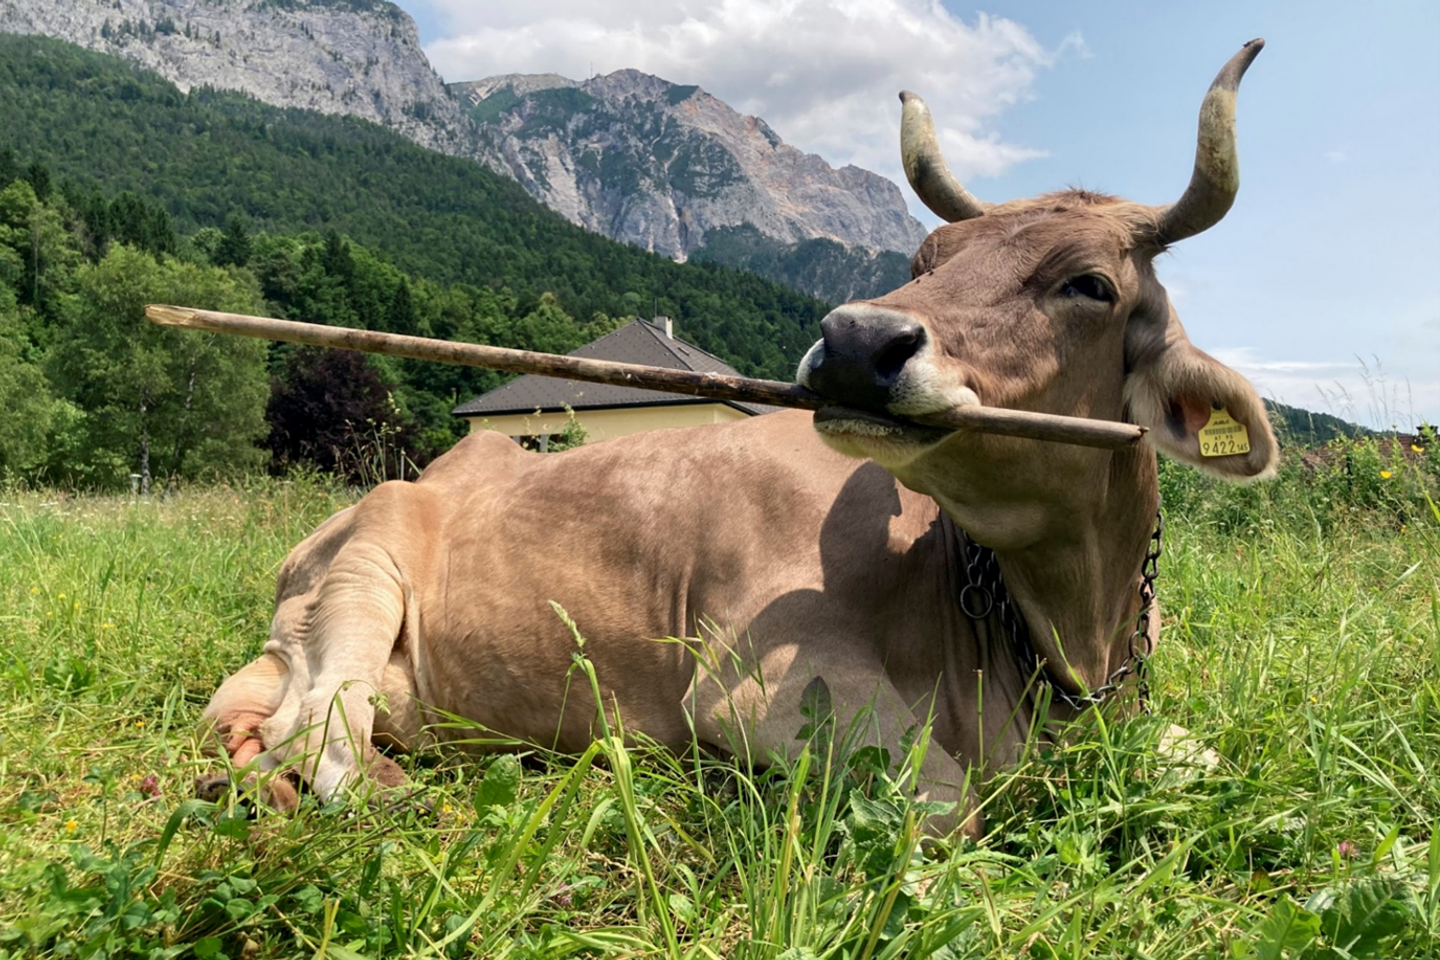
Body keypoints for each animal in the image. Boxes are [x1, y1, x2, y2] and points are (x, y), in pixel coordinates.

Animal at [197, 41, 1278, 836]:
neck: (1065, 641)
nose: (856, 341)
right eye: (925, 258)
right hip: (366, 570)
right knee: (319, 740)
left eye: (1089, 284)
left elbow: (1219, 758)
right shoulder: (758, 688)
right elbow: (949, 806)